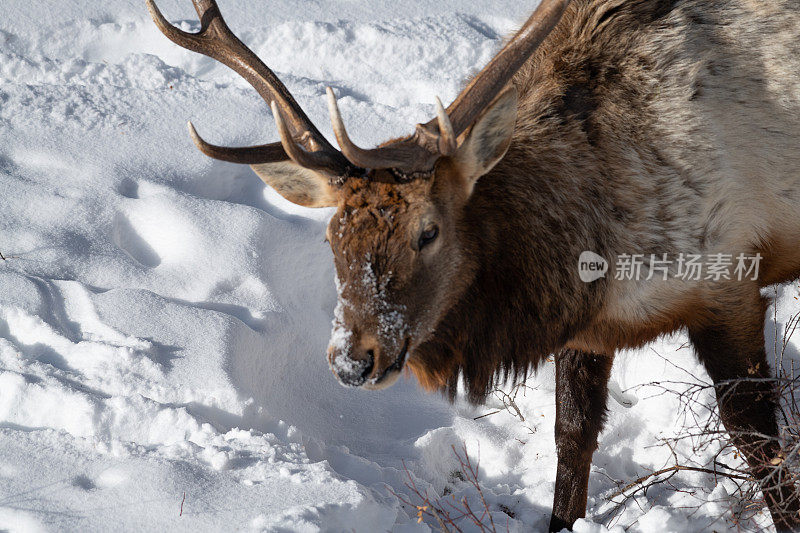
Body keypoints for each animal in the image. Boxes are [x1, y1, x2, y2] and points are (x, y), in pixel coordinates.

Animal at [147, 0, 800, 528]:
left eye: (428, 231)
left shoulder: (729, 281)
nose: (353, 359)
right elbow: (572, 439)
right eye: (333, 236)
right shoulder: (587, 330)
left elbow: (759, 443)